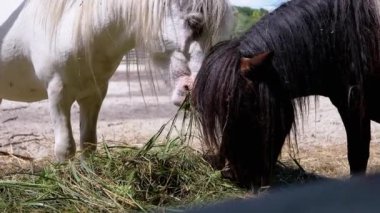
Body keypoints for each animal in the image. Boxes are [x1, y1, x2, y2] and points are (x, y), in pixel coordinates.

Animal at [0, 0, 235, 160]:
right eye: (194, 23)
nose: (194, 90)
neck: (74, 25)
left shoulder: (94, 95)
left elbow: (88, 143)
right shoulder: (57, 93)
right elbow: (65, 149)